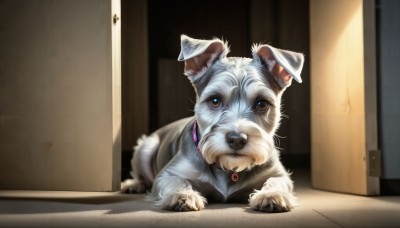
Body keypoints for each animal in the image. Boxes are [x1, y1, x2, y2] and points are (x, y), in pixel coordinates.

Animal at [121, 34, 304, 213]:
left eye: (261, 103)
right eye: (215, 100)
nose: (236, 139)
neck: (229, 169)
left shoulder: (279, 174)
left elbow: (275, 181)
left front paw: (272, 194)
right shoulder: (167, 174)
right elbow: (176, 181)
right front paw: (182, 194)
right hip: (145, 148)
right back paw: (133, 184)